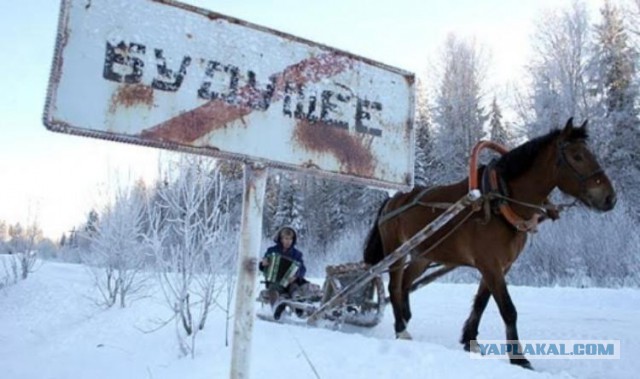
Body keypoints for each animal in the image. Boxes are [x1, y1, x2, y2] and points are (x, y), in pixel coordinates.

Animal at [362, 118, 612, 368]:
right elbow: (508, 309)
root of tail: (393, 199)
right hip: (396, 250)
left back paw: (405, 317)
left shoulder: (500, 265)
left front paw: (470, 340)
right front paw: (519, 358)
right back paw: (401, 328)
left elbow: (481, 302)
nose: (610, 197)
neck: (499, 201)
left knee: (406, 283)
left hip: (423, 254)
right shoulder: (490, 264)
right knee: (394, 286)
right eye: (577, 156)